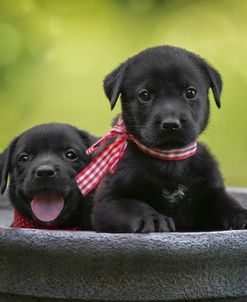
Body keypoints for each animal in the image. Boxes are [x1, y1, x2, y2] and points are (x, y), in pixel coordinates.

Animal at [76, 45, 247, 234]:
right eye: (144, 95)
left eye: (191, 92)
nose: (171, 124)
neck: (170, 160)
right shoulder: (107, 201)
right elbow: (132, 205)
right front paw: (153, 218)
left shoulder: (212, 191)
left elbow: (225, 202)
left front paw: (241, 215)